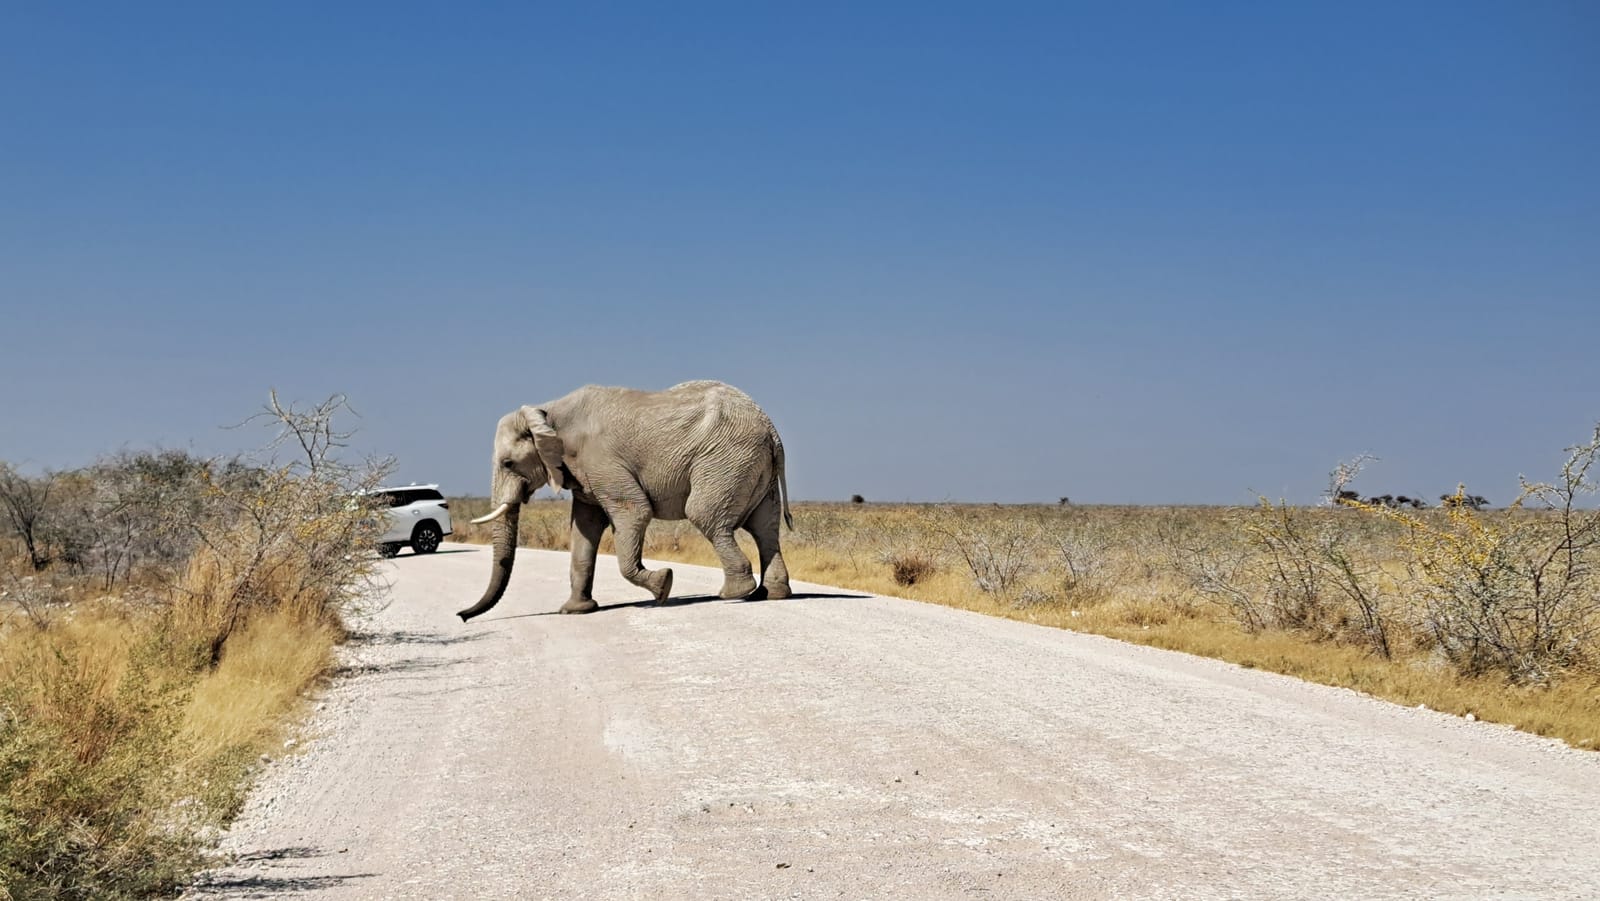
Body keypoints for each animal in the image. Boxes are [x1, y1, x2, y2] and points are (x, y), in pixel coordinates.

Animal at [457, 380, 793, 621]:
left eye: (508, 463)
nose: (461, 616)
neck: (547, 410)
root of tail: (771, 429)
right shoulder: (584, 474)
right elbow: (584, 529)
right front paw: (575, 611)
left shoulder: (602, 462)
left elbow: (635, 512)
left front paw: (664, 585)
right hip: (753, 465)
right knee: (764, 527)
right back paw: (770, 594)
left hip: (726, 459)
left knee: (705, 515)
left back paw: (733, 593)